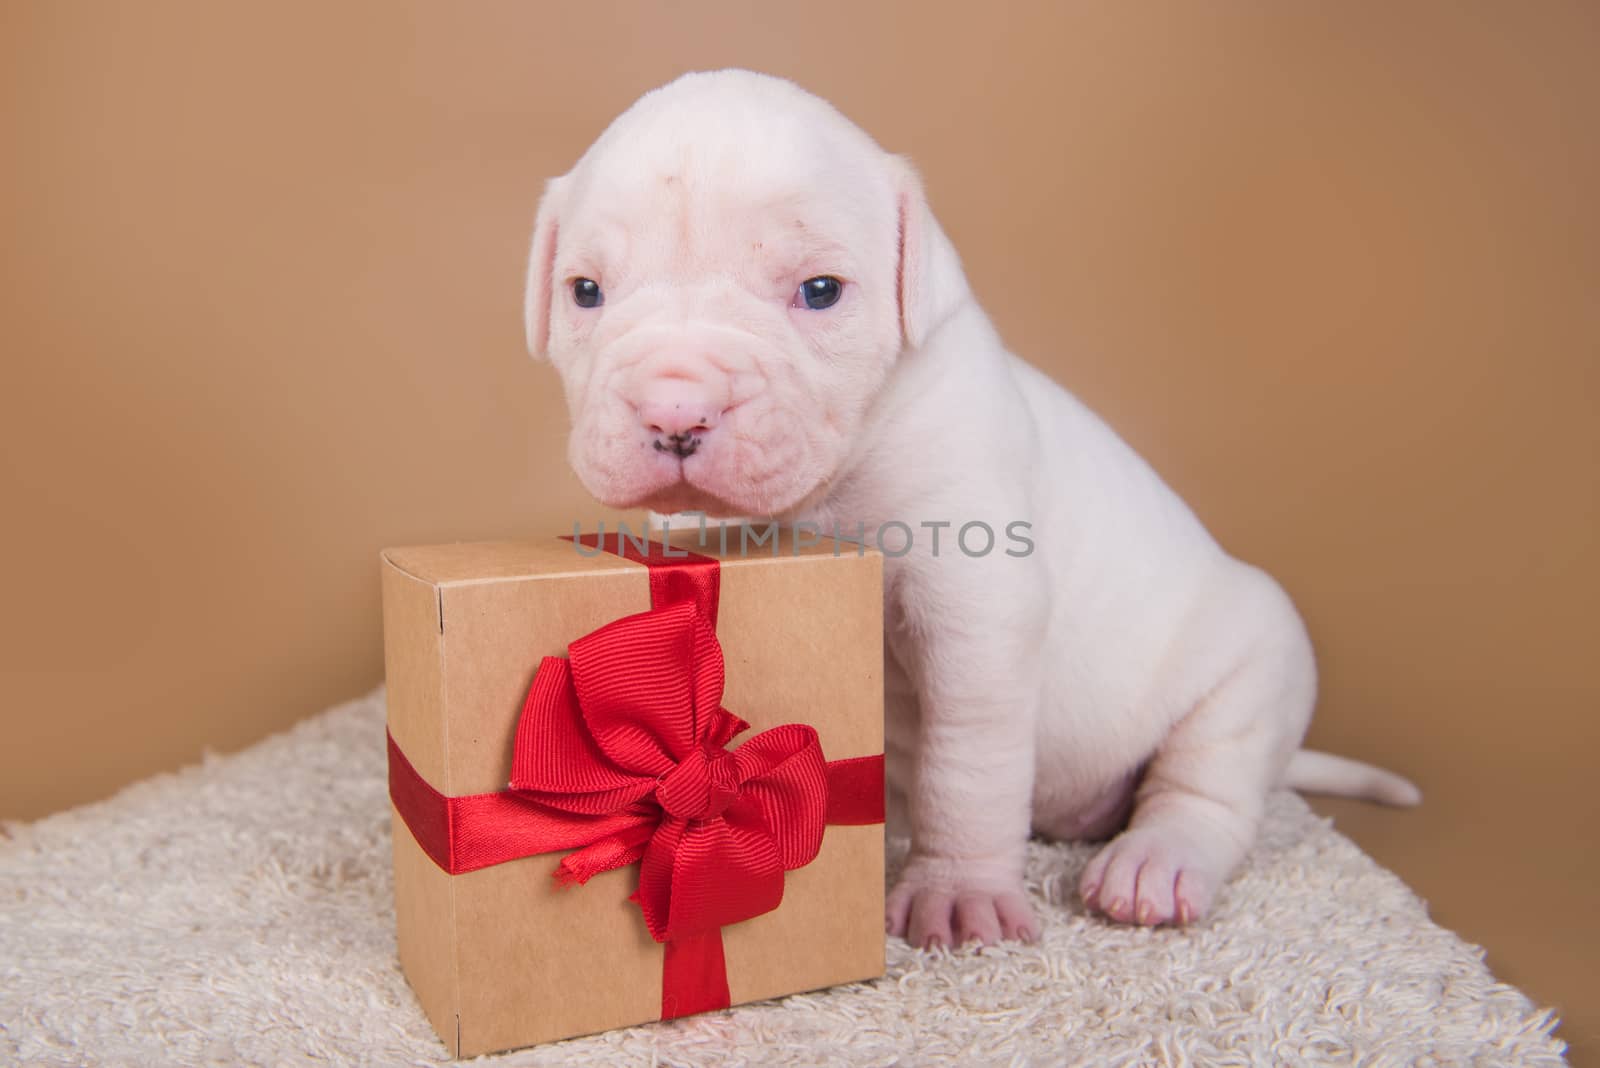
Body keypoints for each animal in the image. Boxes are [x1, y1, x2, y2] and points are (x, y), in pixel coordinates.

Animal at [521, 70, 1414, 946]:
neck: (833, 485)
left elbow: (968, 764)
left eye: (821, 291)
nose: (675, 410)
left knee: (1205, 790)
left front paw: (957, 893)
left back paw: (1155, 864)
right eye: (586, 291)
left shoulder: (973, 610)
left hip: (1255, 670)